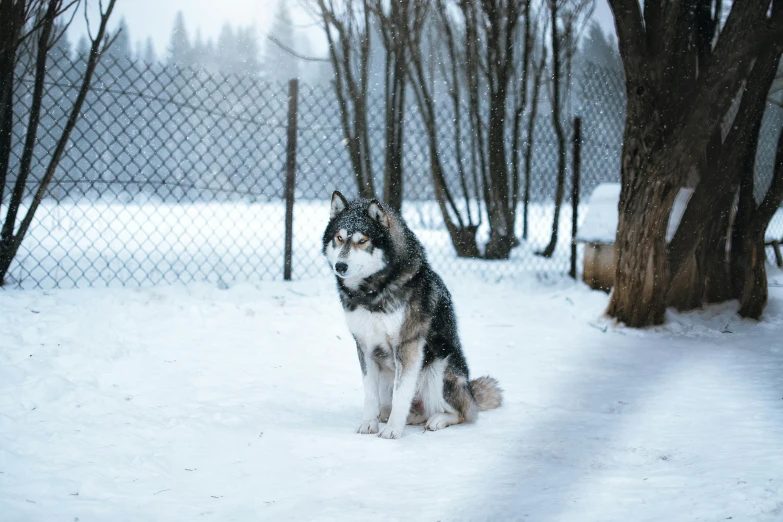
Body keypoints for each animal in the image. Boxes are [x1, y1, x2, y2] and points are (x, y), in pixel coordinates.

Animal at [324, 189, 502, 436]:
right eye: (339, 238)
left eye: (362, 241)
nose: (340, 266)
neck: (372, 291)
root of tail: (471, 392)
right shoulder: (364, 345)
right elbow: (370, 394)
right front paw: (368, 423)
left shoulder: (407, 345)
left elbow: (401, 394)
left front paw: (392, 431)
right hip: (387, 375)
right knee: (402, 408)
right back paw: (396, 416)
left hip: (439, 368)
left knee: (462, 414)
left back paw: (436, 419)